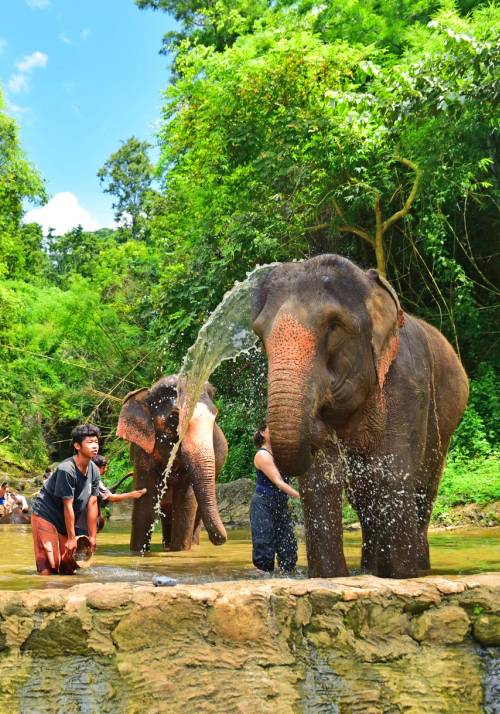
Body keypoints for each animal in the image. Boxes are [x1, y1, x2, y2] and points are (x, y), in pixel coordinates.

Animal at [116, 375, 227, 553]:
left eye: (214, 417)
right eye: (175, 418)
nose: (218, 539)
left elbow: (186, 502)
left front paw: (180, 551)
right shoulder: (143, 451)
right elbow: (146, 501)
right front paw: (137, 552)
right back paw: (167, 545)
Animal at [252, 254, 469, 579]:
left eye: (334, 325)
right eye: (259, 334)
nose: (316, 423)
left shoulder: (408, 382)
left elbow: (392, 473)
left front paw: (401, 576)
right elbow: (321, 481)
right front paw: (330, 577)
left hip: (445, 422)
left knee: (423, 487)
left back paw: (417, 568)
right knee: (364, 498)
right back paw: (370, 567)